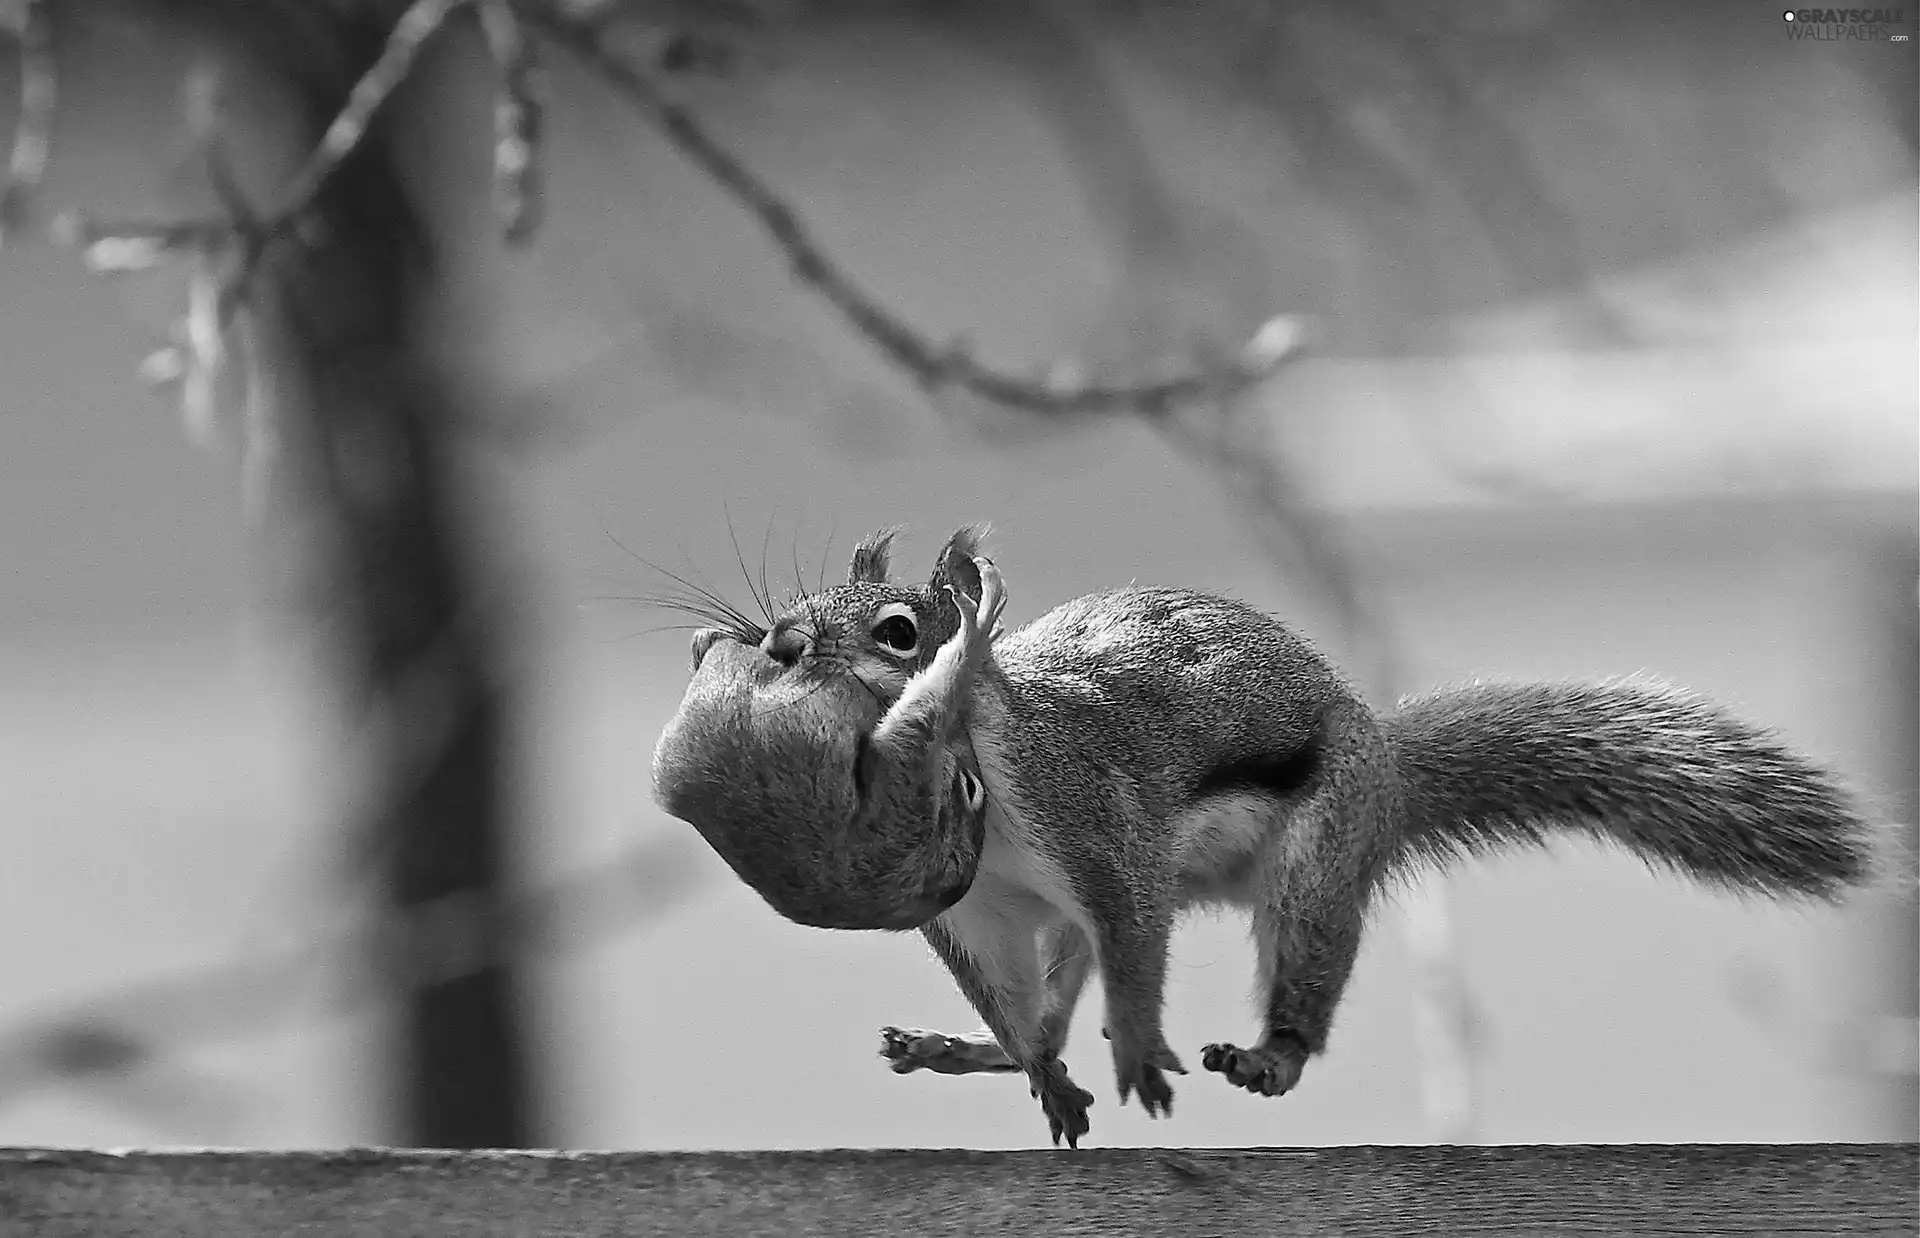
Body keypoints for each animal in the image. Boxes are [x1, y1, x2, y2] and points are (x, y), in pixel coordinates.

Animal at [648, 522, 1873, 1151]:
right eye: (802, 599)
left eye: (901, 631)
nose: (776, 641)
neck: (974, 769)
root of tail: (1388, 769)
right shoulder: (982, 912)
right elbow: (1014, 1002)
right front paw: (1037, 1068)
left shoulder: (1099, 821)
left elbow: (1134, 932)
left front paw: (1141, 1057)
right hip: (1087, 924)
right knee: (1062, 992)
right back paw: (979, 1054)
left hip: (1315, 861)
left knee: (1287, 963)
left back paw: (1268, 1051)